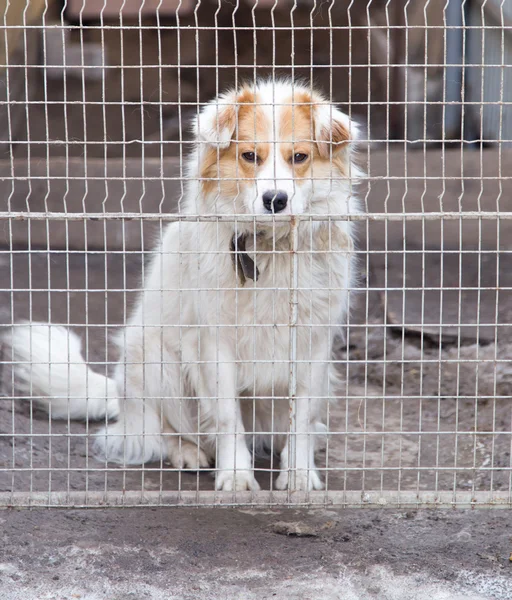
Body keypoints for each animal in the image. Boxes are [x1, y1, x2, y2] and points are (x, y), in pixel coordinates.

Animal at [7, 79, 360, 490]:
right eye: (250, 156)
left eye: (299, 157)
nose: (275, 200)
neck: (269, 246)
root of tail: (122, 400)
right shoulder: (214, 343)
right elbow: (227, 417)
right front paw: (236, 476)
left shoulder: (313, 342)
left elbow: (301, 417)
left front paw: (299, 473)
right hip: (153, 357)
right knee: (157, 433)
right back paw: (188, 452)